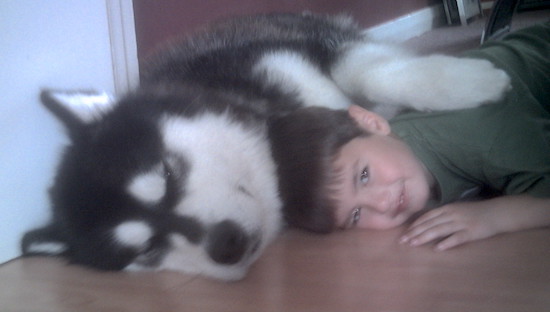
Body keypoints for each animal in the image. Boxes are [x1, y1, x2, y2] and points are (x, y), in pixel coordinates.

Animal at [22, 12, 512, 280]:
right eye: (145, 251)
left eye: (166, 172)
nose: (226, 244)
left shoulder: (298, 55)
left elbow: (377, 75)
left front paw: (476, 82)